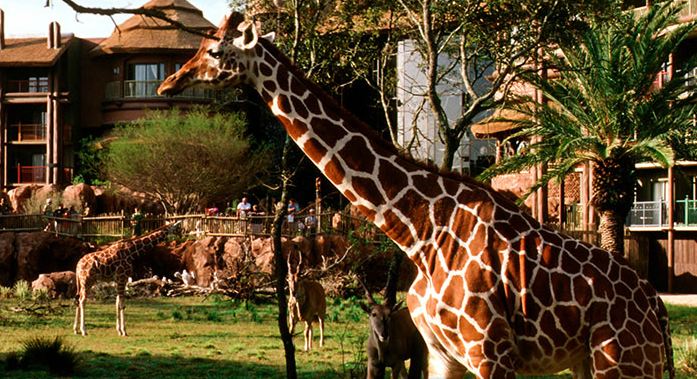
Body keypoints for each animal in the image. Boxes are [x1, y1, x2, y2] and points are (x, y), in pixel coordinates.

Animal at [159, 14, 676, 379]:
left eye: (213, 49)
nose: (169, 82)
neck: (420, 229)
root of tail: (659, 311)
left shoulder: (492, 352)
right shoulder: (444, 355)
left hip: (623, 361)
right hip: (594, 362)